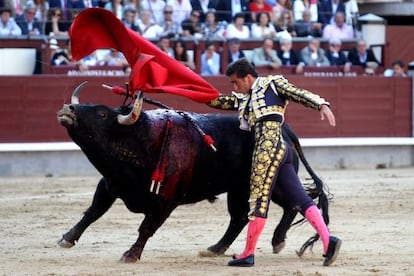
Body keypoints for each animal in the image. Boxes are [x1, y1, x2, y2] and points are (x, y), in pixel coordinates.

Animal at [56, 82, 328, 264]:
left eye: (102, 113)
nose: (68, 108)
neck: (142, 139)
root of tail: (284, 128)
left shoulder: (165, 200)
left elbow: (146, 227)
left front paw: (131, 254)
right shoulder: (109, 184)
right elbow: (93, 212)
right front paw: (67, 238)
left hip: (271, 181)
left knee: (293, 204)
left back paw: (277, 240)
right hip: (239, 189)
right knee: (240, 217)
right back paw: (217, 248)